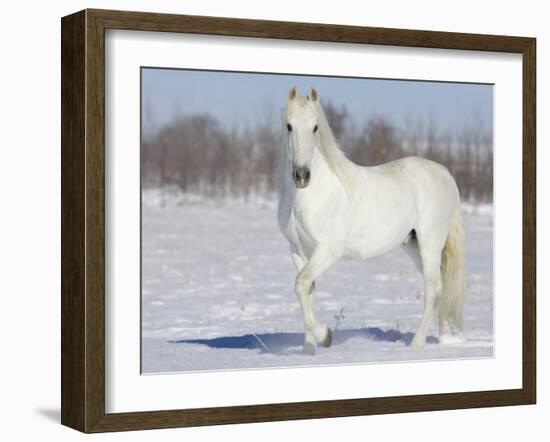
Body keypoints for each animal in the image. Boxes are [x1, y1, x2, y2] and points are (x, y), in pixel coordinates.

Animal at [278, 87, 468, 356]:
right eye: (289, 125)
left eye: (315, 127)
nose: (302, 175)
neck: (311, 195)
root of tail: (445, 174)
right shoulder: (297, 250)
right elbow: (307, 290)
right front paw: (309, 350)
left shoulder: (328, 250)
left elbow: (302, 284)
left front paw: (325, 337)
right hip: (413, 245)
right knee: (438, 284)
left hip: (430, 243)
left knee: (433, 287)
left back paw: (416, 344)